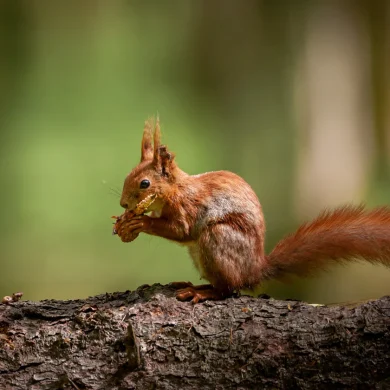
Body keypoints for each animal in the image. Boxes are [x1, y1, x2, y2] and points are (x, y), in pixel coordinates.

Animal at [116, 117, 390, 304]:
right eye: (128, 175)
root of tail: (255, 269)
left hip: (218, 239)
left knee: (228, 289)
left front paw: (140, 222)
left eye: (144, 184)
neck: (176, 190)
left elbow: (181, 231)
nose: (123, 204)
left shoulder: (187, 207)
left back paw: (201, 292)